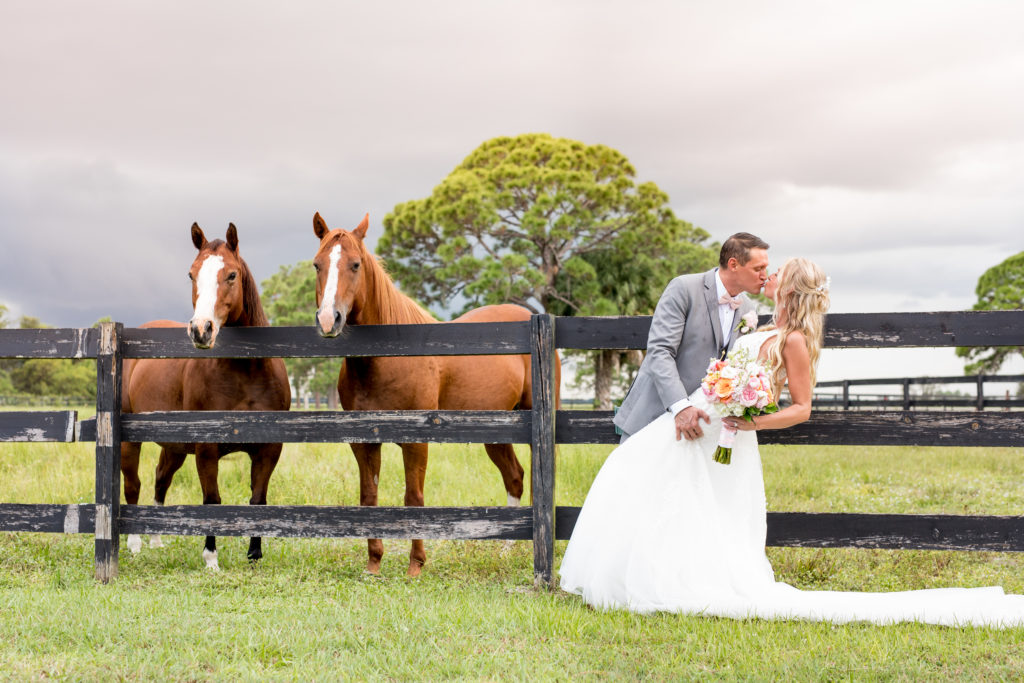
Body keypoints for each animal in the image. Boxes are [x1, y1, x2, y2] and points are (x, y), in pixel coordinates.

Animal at [122, 222, 296, 569]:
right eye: (191, 274)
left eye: (231, 275)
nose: (201, 330)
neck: (247, 372)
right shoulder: (207, 448)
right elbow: (212, 500)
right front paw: (211, 558)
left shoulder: (269, 448)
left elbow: (258, 498)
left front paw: (254, 554)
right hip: (130, 442)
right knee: (133, 485)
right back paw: (135, 543)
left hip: (174, 447)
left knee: (161, 479)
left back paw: (157, 540)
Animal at [311, 211, 561, 577]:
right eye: (317, 264)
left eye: (355, 264)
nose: (330, 320)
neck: (388, 358)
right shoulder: (364, 441)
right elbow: (369, 496)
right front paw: (374, 562)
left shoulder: (417, 441)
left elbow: (414, 498)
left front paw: (416, 565)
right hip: (497, 433)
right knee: (514, 477)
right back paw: (505, 549)